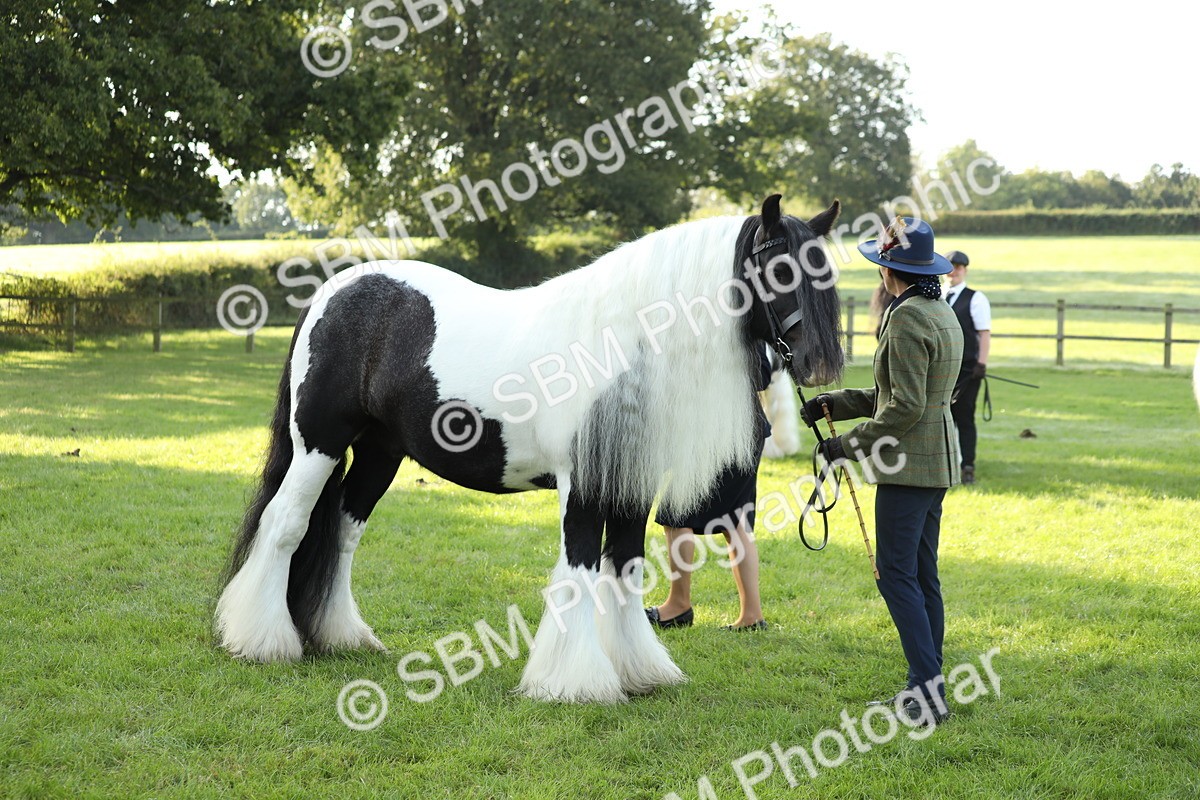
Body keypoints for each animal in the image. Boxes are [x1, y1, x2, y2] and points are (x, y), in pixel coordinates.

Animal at [215, 195, 844, 703]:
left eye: (826, 274)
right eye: (779, 267)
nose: (822, 365)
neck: (620, 346)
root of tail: (333, 290)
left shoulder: (629, 488)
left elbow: (624, 569)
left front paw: (639, 672)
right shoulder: (582, 487)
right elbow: (580, 569)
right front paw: (574, 683)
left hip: (379, 454)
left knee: (344, 533)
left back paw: (342, 636)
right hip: (317, 446)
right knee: (286, 525)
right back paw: (260, 641)